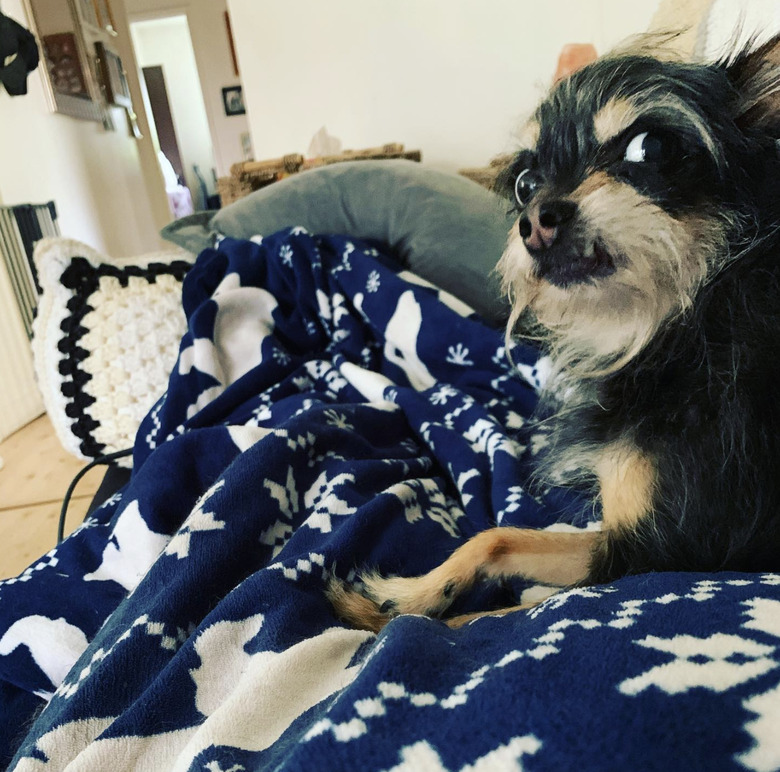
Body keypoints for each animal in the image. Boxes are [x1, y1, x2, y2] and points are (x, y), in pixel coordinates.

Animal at [326, 33, 780, 632]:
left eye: (651, 149)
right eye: (525, 184)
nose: (535, 221)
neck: (695, 319)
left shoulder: (661, 549)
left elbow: (493, 617)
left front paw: (396, 617)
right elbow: (496, 538)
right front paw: (406, 596)